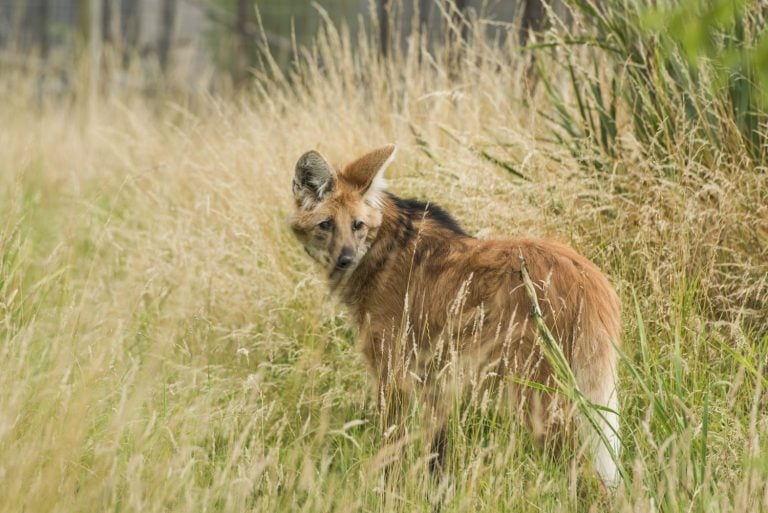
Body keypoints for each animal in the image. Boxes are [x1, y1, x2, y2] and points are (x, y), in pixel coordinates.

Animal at [289, 144, 621, 487]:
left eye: (357, 225)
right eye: (326, 224)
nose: (345, 259)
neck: (383, 251)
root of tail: (588, 275)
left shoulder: (393, 371)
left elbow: (392, 445)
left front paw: (386, 489)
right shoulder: (433, 376)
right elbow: (437, 451)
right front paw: (434, 490)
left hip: (537, 396)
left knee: (589, 475)